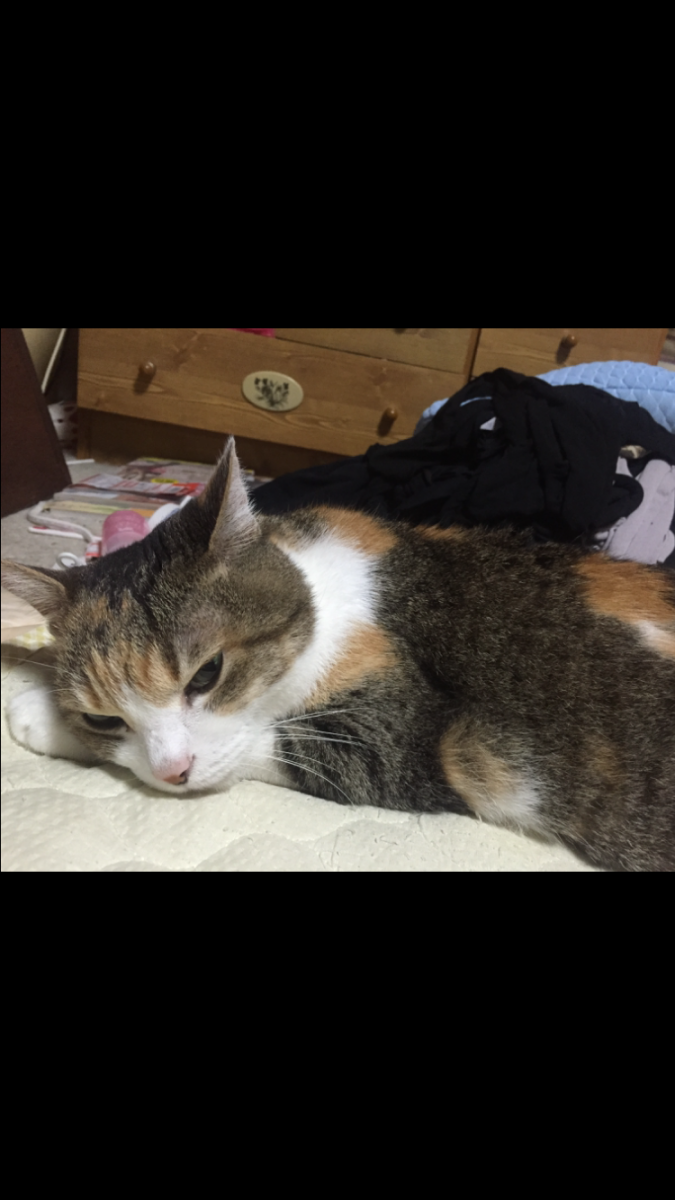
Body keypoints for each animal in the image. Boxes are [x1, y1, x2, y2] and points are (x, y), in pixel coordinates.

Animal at [2, 439, 674, 871]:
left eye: (208, 674)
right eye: (104, 717)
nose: (173, 773)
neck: (328, 595)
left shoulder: (402, 740)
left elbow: (262, 746)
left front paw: (33, 714)